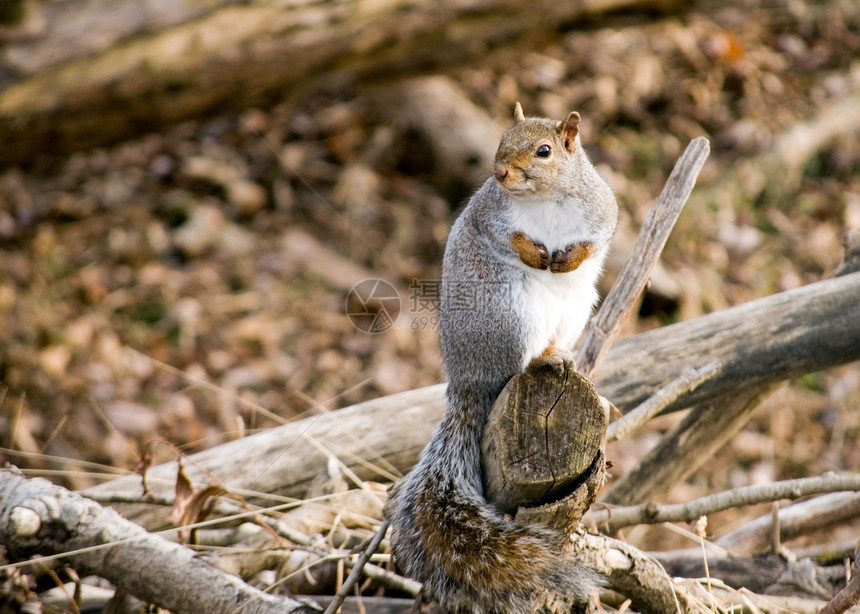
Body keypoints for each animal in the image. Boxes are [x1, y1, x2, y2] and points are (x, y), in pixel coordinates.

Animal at [384, 104, 620, 614]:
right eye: (502, 138)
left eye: (545, 150)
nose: (498, 173)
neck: (547, 198)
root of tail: (467, 379)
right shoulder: (489, 214)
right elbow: (501, 233)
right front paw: (533, 252)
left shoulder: (601, 208)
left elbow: (600, 235)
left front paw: (569, 258)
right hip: (511, 316)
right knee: (516, 366)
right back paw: (543, 362)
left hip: (573, 310)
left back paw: (568, 360)